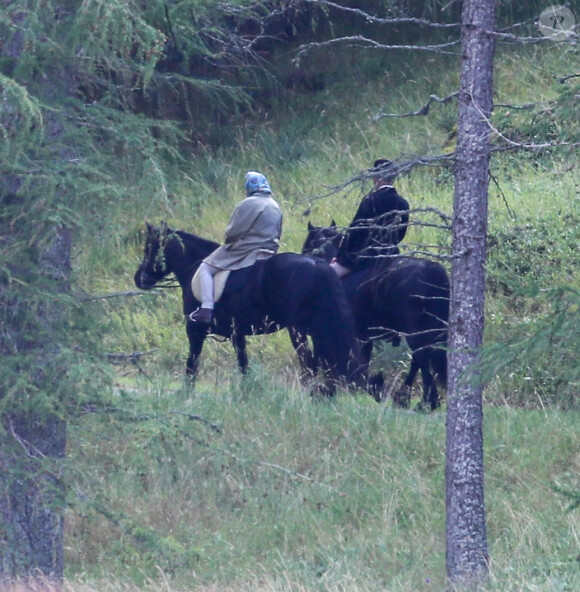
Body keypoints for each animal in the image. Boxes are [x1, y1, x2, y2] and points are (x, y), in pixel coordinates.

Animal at [134, 221, 360, 388]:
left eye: (149, 248)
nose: (139, 279)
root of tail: (317, 264)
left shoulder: (195, 330)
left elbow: (191, 367)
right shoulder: (237, 334)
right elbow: (243, 365)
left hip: (298, 330)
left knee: (309, 364)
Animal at [304, 222, 448, 412]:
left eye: (310, 244)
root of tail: (430, 269)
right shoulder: (365, 338)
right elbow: (362, 364)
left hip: (414, 332)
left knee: (422, 358)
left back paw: (426, 402)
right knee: (420, 359)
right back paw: (407, 398)